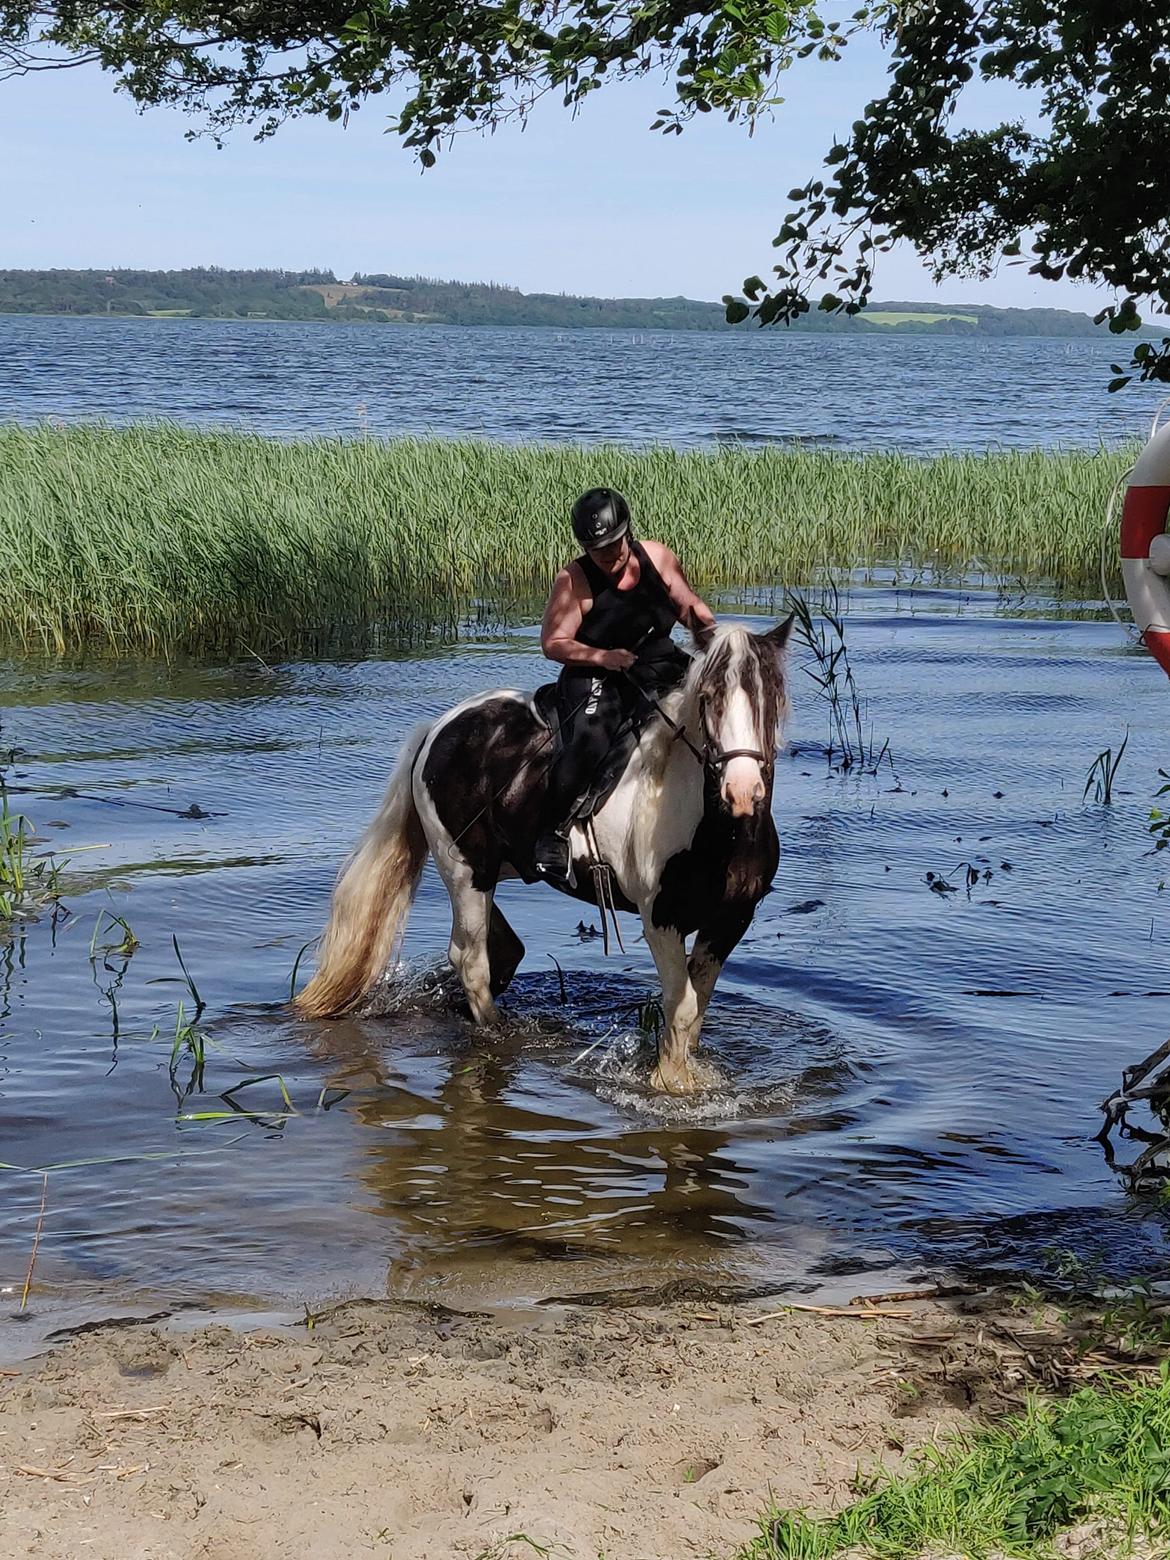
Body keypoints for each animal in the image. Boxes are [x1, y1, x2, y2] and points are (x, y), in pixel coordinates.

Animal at [294, 620, 798, 1098]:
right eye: (709, 698)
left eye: (772, 698)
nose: (742, 791)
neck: (711, 826)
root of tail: (439, 729)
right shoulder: (661, 920)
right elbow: (683, 1004)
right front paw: (671, 1084)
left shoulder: (730, 921)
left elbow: (697, 1006)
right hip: (464, 870)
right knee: (470, 960)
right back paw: (498, 1034)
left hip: (488, 870)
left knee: (499, 951)